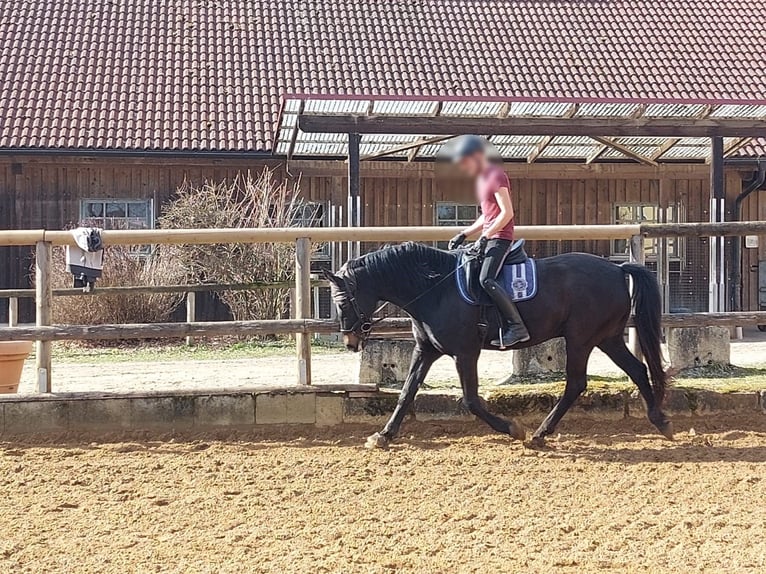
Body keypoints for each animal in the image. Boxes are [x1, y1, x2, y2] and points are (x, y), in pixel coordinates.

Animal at [324, 241, 672, 448]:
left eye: (342, 302)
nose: (350, 342)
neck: (434, 288)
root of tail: (617, 268)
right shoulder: (426, 350)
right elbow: (406, 393)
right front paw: (383, 435)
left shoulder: (465, 353)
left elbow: (471, 400)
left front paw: (512, 429)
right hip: (607, 338)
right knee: (638, 370)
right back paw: (660, 421)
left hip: (581, 339)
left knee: (576, 383)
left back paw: (538, 434)